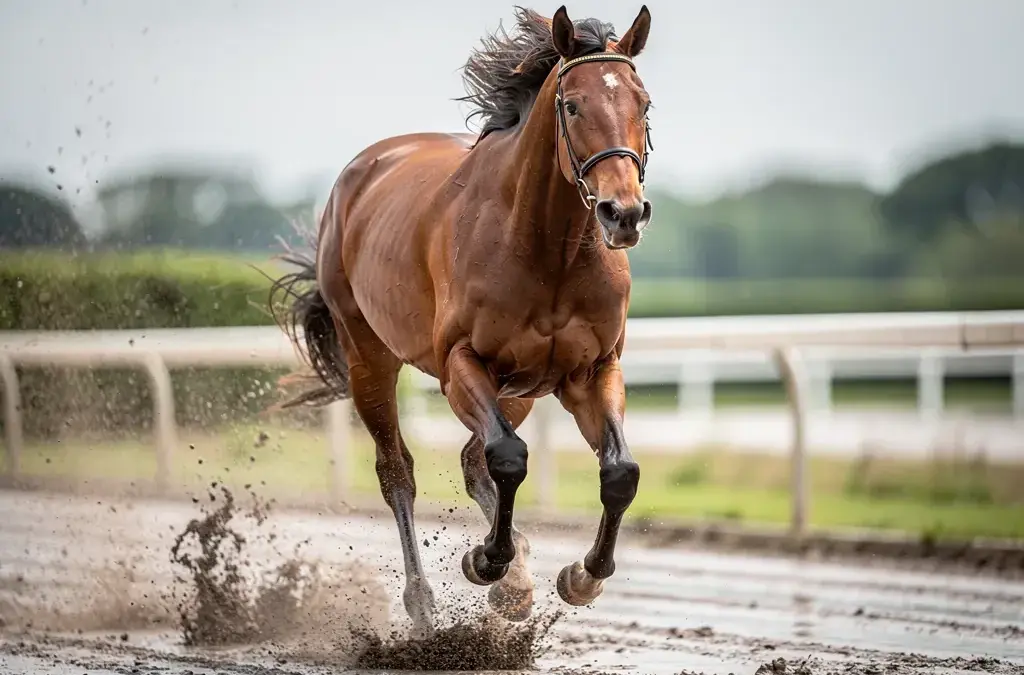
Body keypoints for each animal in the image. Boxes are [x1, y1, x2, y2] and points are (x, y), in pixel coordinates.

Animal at [268, 4, 654, 635]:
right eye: (573, 105)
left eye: (643, 104)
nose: (623, 213)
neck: (546, 249)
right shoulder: (461, 365)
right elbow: (508, 458)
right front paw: (488, 562)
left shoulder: (591, 370)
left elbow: (619, 470)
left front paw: (580, 576)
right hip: (368, 357)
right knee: (399, 471)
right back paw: (425, 603)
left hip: (521, 389)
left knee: (476, 460)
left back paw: (517, 577)